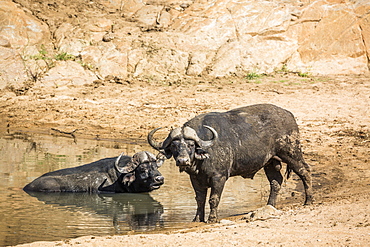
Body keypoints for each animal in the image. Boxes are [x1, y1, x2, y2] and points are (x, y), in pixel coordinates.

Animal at [147, 103, 312, 223]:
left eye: (191, 145)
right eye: (174, 146)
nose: (183, 160)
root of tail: (289, 115)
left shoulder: (219, 178)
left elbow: (213, 199)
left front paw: (212, 219)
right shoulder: (195, 179)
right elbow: (200, 199)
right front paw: (197, 219)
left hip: (292, 153)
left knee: (305, 171)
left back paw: (309, 200)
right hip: (270, 162)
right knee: (276, 182)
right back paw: (270, 206)